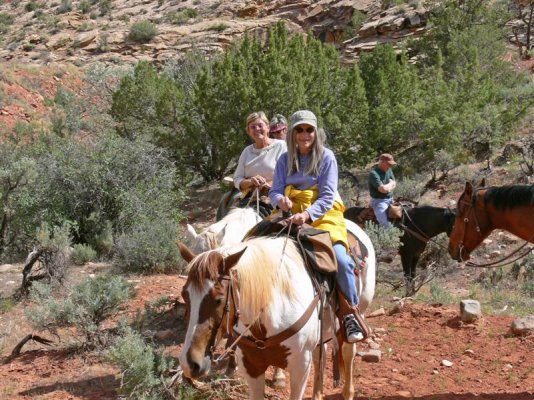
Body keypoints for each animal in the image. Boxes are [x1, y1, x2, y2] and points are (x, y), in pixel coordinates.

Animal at [179, 220, 376, 400]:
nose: (190, 364)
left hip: (359, 311)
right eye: (185, 295)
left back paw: (348, 391)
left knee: (348, 352)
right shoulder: (251, 365)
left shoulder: (300, 366)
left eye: (218, 300)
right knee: (321, 354)